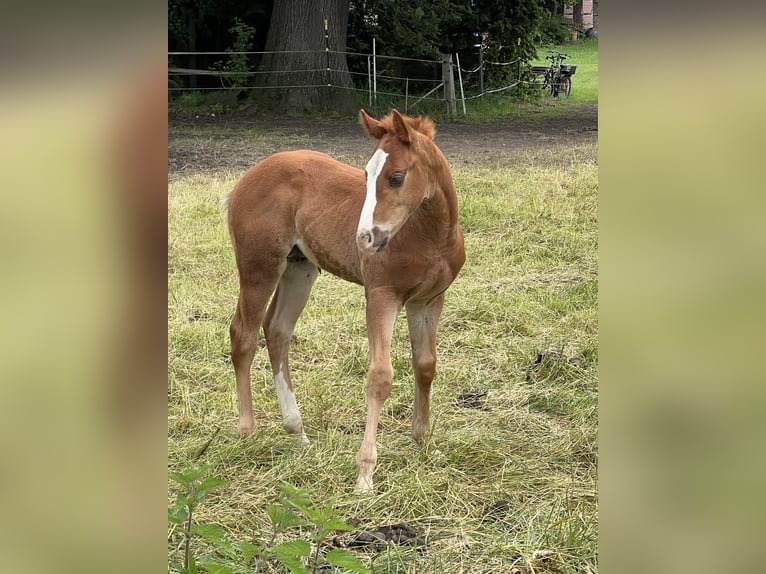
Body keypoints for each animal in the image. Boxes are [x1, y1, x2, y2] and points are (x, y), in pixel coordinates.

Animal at [223, 109, 466, 493]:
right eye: (366, 175)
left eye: (396, 177)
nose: (364, 238)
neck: (431, 237)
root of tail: (245, 179)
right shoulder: (381, 296)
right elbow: (380, 377)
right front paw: (365, 475)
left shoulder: (429, 300)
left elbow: (426, 365)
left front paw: (424, 444)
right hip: (258, 267)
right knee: (243, 335)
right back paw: (248, 430)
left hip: (299, 268)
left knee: (277, 330)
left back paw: (297, 431)